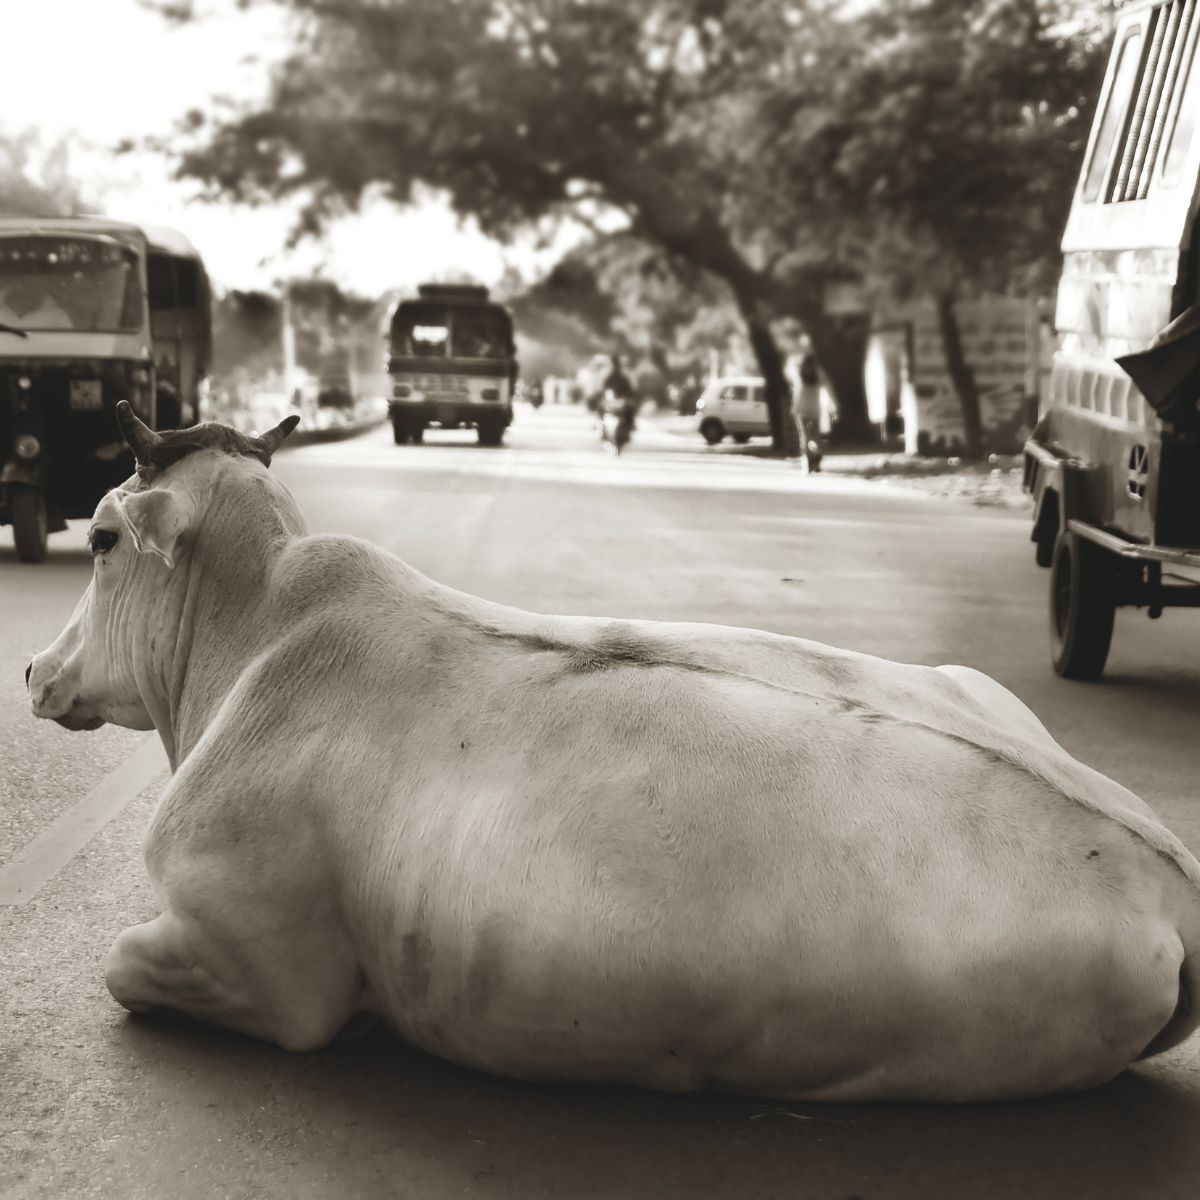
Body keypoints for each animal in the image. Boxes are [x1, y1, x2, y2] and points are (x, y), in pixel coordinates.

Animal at [26, 402, 1200, 1102]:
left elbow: (123, 968)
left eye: (100, 539)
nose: (34, 669)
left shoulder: (264, 967)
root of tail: (1172, 875)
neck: (252, 635)